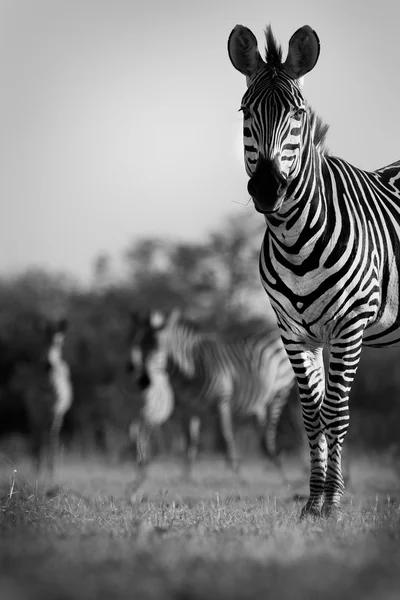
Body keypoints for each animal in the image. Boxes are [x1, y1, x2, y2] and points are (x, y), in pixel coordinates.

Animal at [126, 310, 298, 478]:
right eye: (136, 346)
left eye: (157, 348)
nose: (142, 381)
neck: (190, 369)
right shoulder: (187, 409)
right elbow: (190, 441)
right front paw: (186, 477)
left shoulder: (221, 401)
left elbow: (225, 435)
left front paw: (235, 473)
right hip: (261, 401)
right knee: (263, 434)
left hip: (281, 391)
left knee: (270, 432)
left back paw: (279, 469)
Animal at [227, 23, 400, 516]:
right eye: (245, 111)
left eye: (298, 114)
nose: (267, 188)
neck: (295, 238)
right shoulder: (293, 332)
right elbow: (311, 414)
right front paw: (313, 502)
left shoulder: (349, 326)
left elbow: (336, 412)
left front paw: (334, 503)